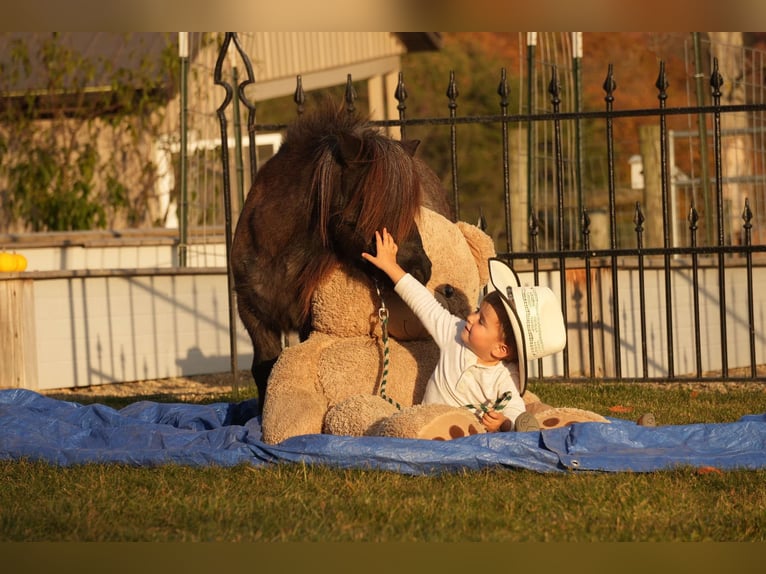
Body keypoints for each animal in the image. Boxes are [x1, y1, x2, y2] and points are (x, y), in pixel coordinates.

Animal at [231, 102, 452, 410]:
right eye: (373, 202)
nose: (422, 269)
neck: (276, 254)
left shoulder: (309, 324)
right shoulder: (252, 315)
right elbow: (264, 369)